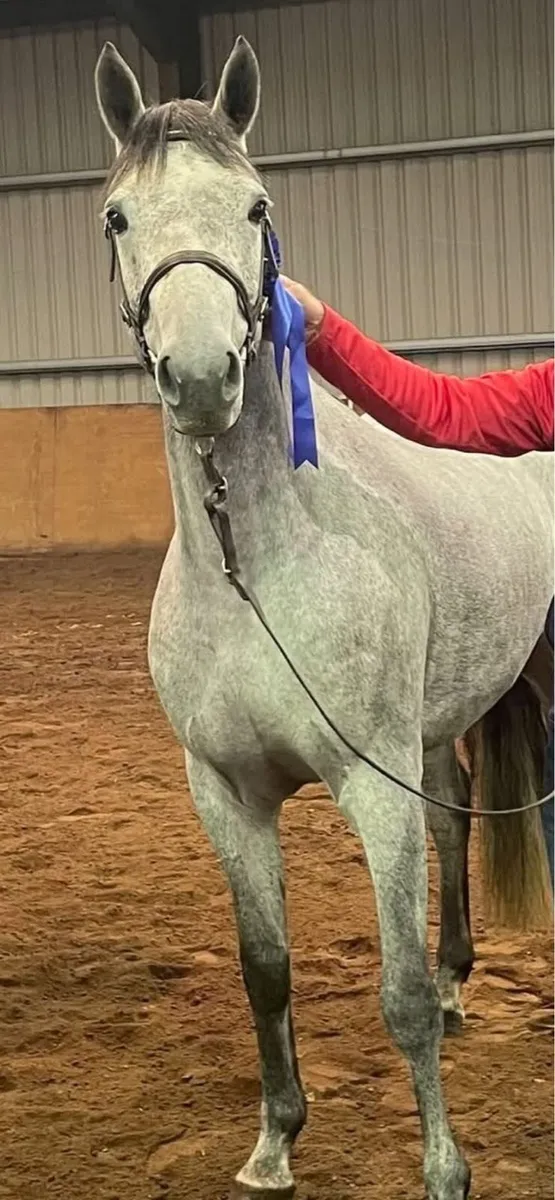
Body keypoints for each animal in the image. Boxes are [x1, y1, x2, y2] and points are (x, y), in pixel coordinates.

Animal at [94, 36, 553, 1200]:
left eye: (256, 207)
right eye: (118, 216)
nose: (201, 375)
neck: (255, 570)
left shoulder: (370, 786)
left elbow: (394, 993)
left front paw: (444, 1170)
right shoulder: (226, 794)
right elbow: (265, 971)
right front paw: (274, 1144)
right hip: (435, 729)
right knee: (455, 815)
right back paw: (461, 982)